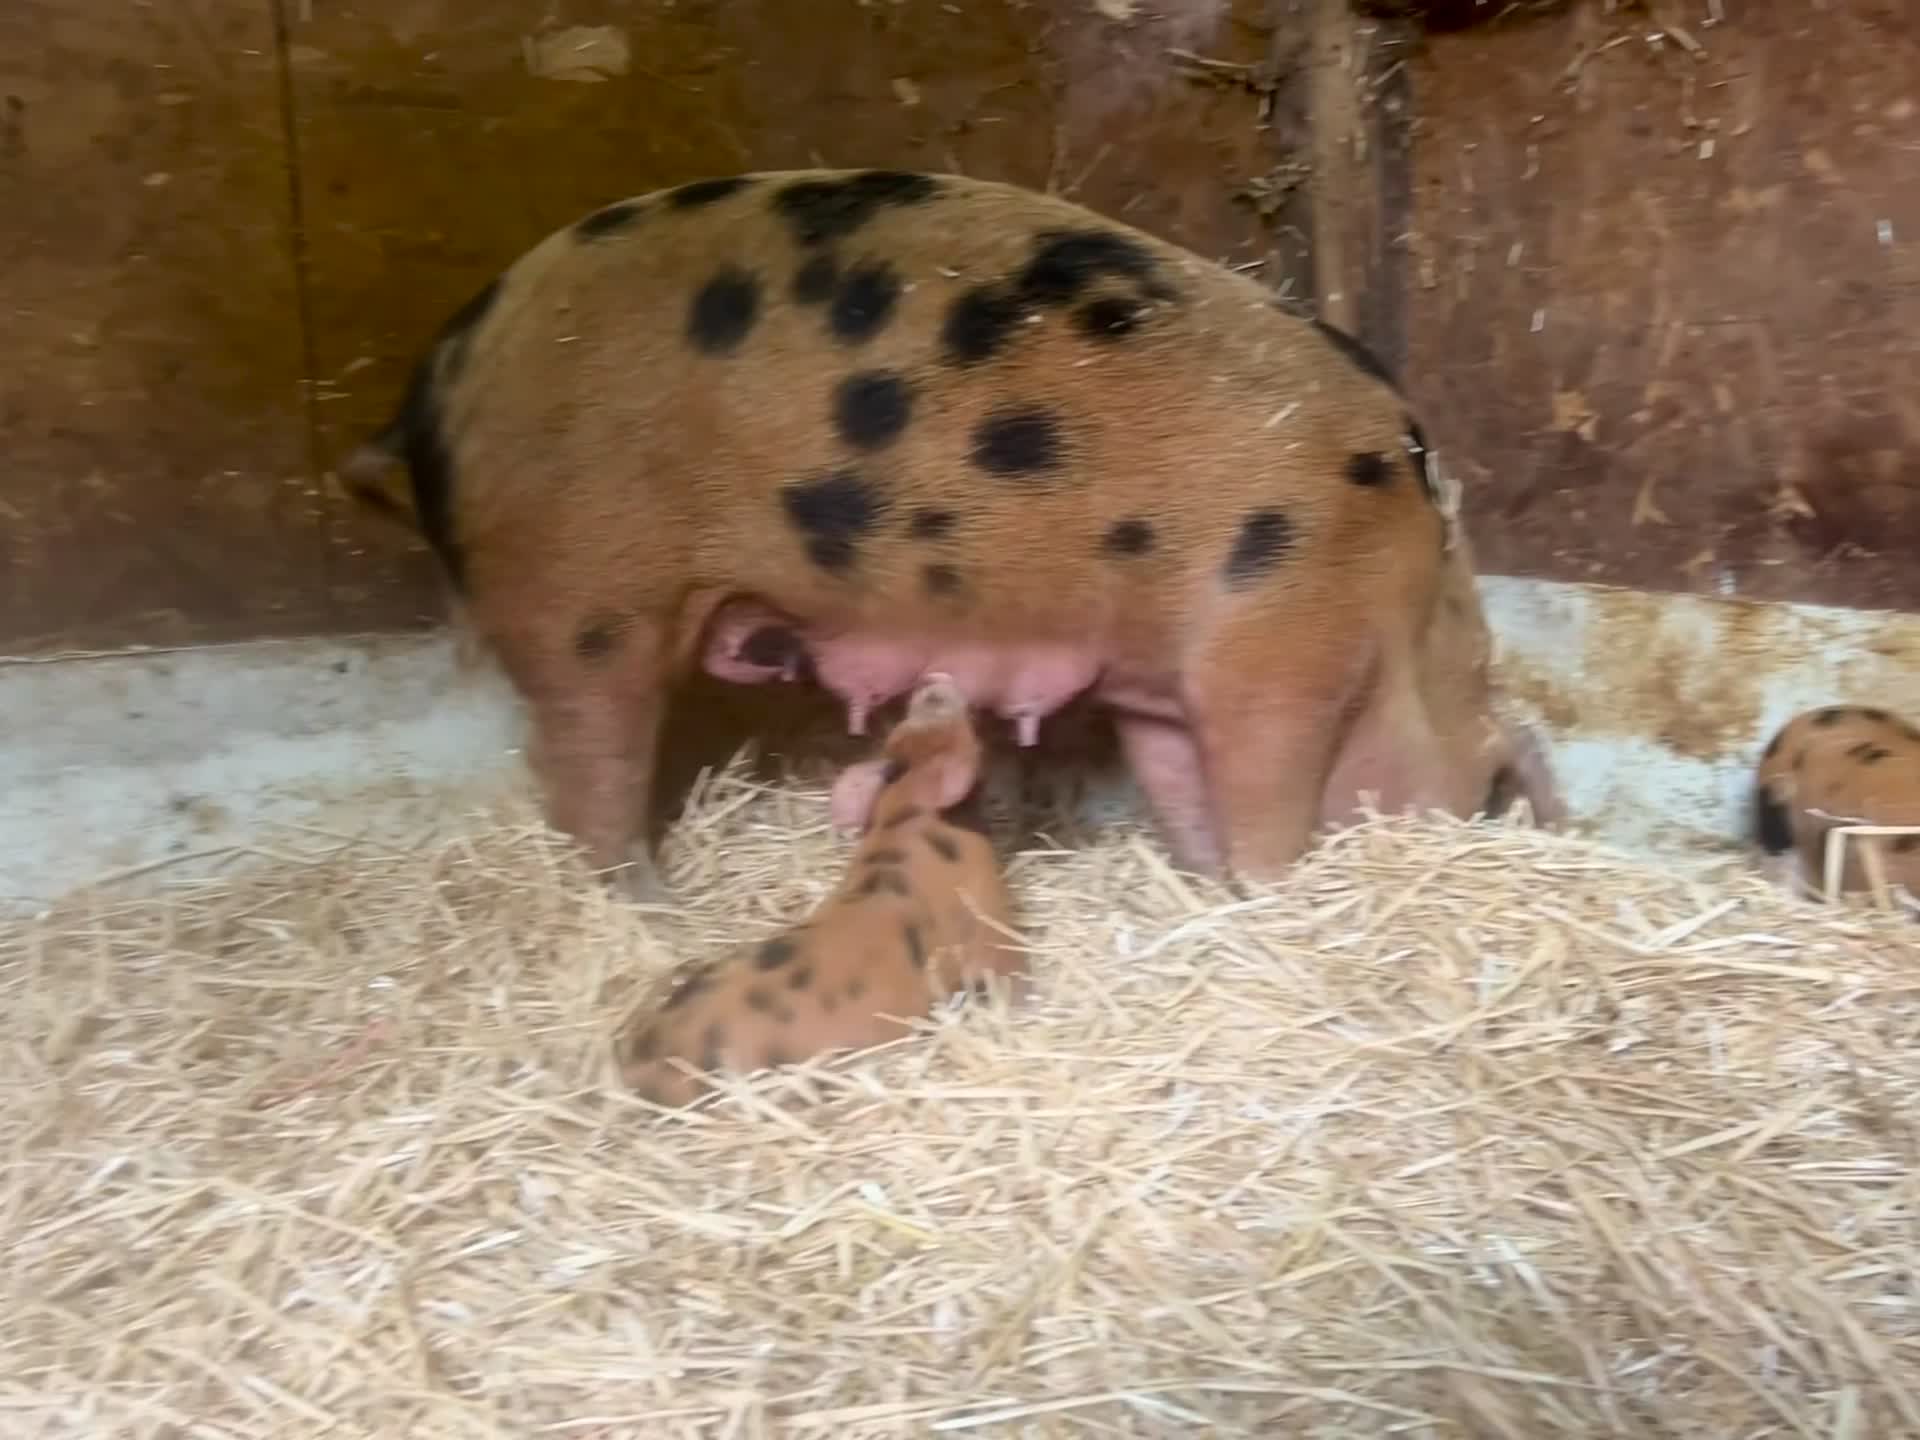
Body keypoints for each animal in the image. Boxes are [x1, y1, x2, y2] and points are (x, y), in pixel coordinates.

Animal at [338, 167, 1559, 899]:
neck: (1408, 620)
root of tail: (437, 382)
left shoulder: (1168, 683)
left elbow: (1178, 783)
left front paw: (1206, 890)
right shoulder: (1281, 647)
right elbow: (1268, 802)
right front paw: (1265, 894)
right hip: (582, 602)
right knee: (586, 769)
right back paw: (650, 907)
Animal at [613, 672, 1023, 1107]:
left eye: (901, 734)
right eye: (962, 736)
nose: (933, 682)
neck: (908, 811)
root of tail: (640, 1064)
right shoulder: (988, 914)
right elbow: (1007, 969)